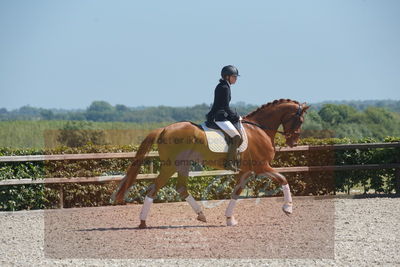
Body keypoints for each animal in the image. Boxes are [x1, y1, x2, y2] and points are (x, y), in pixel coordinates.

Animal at [111, 99, 310, 229]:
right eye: (300, 120)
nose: (293, 143)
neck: (259, 129)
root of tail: (164, 129)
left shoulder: (246, 171)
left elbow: (236, 192)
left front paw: (230, 219)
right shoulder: (261, 167)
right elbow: (283, 179)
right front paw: (288, 208)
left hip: (183, 164)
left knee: (181, 188)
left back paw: (201, 215)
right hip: (170, 166)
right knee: (154, 188)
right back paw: (143, 222)